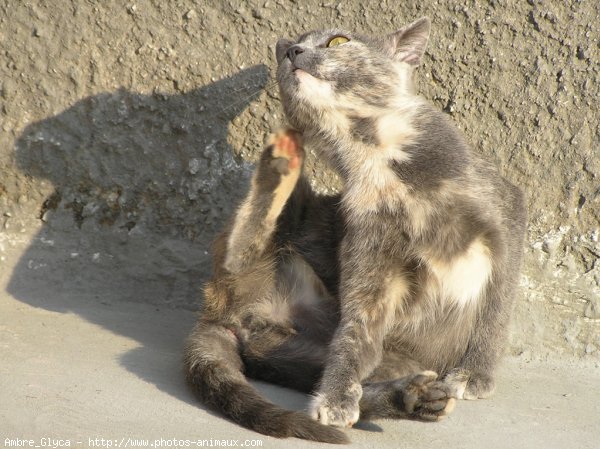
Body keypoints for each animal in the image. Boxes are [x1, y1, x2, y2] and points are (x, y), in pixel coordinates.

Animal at [183, 15, 524, 442]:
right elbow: (355, 331)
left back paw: (417, 398)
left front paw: (476, 373)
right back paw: (281, 160)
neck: (375, 153)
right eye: (288, 48)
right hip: (290, 234)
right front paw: (335, 399)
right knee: (240, 252)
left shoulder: (505, 215)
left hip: (332, 352)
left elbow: (498, 307)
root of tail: (219, 315)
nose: (293, 51)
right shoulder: (367, 250)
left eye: (337, 40)